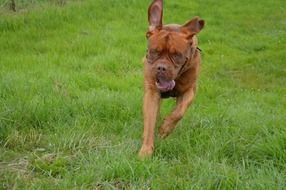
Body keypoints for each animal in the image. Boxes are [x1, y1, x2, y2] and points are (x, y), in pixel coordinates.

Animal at [138, 0, 203, 157]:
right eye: (154, 52)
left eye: (176, 55)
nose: (161, 68)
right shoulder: (152, 93)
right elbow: (149, 120)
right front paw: (146, 150)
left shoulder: (189, 91)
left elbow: (179, 112)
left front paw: (165, 128)